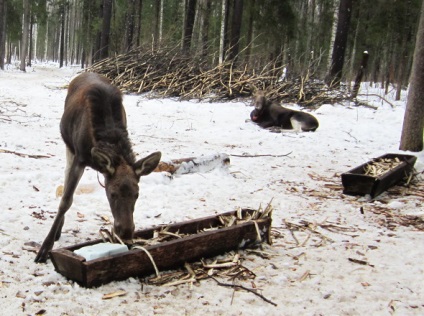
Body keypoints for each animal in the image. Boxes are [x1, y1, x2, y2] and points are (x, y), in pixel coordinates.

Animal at [34, 73, 161, 262]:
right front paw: (44, 248)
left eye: (137, 194)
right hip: (68, 146)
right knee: (65, 180)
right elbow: (66, 201)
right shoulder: (79, 157)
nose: (126, 232)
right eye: (112, 194)